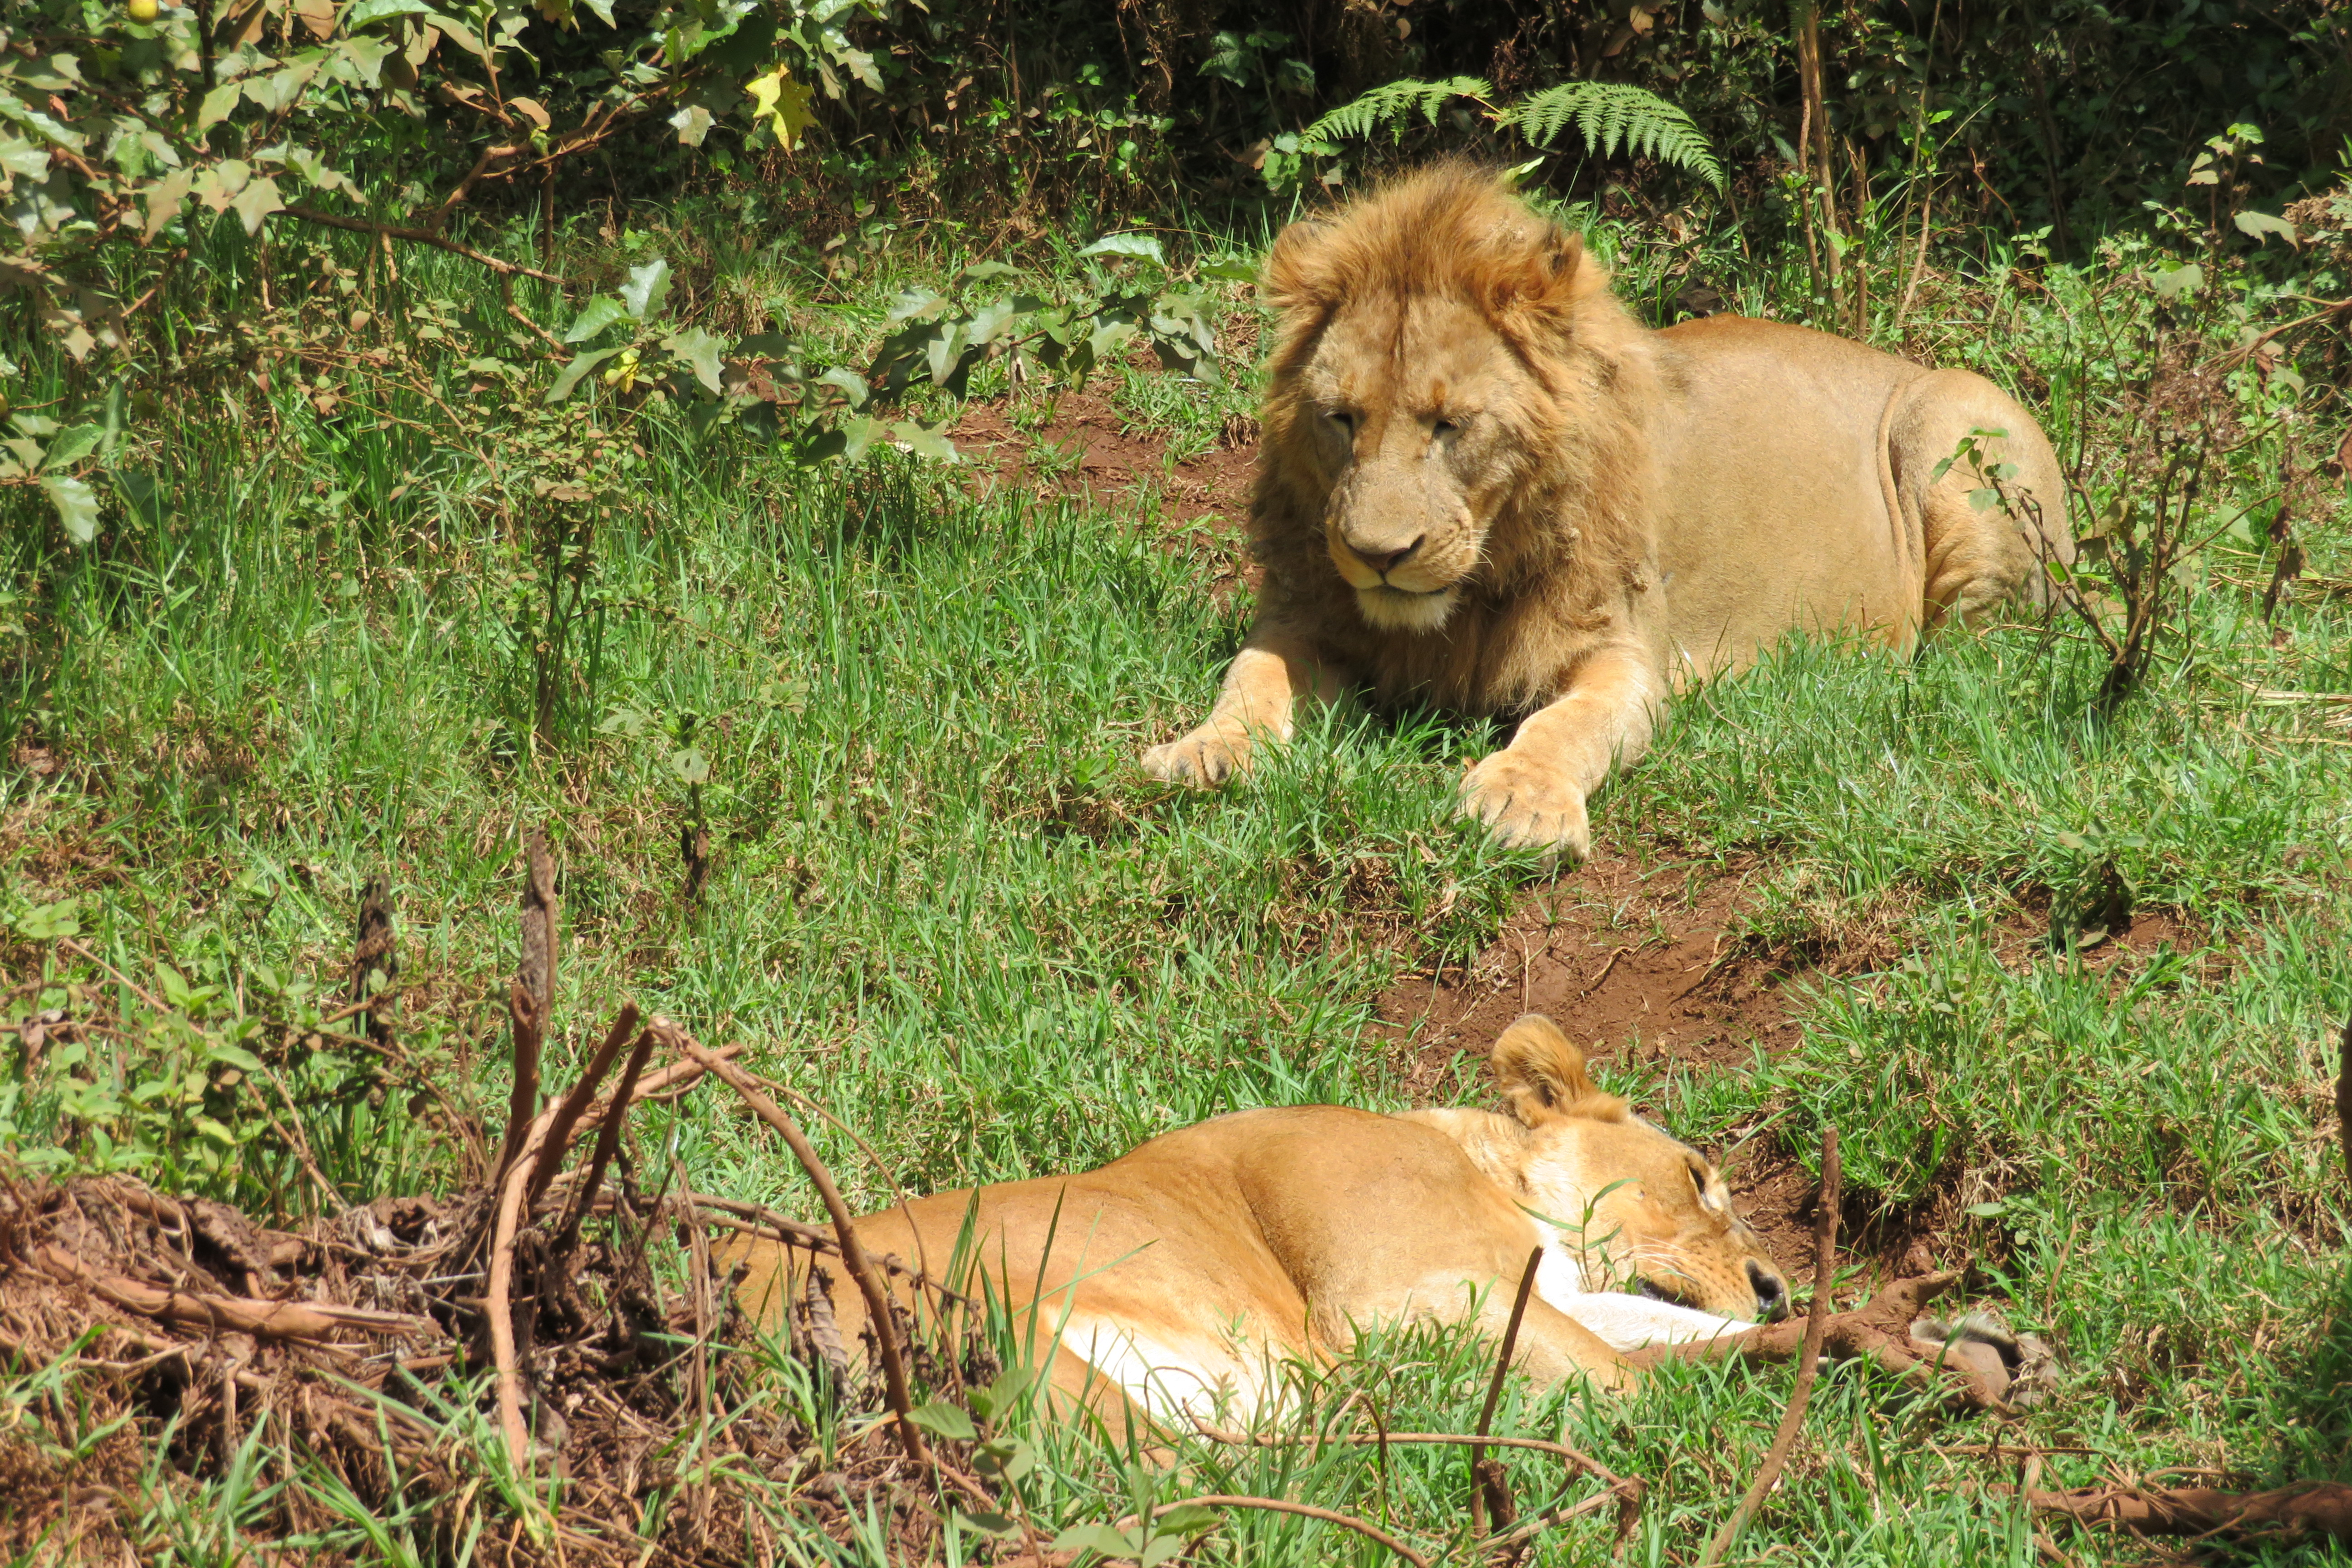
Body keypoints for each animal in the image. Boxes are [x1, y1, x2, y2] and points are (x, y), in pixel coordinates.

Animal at [720, 1020, 2023, 1439]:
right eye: (1700, 1174)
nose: (1769, 1279)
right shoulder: (1401, 1295)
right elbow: (1634, 1373)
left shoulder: (1530, 1284)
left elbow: (1664, 1334)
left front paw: (1941, 1346)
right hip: (996, 1335)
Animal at [1143, 164, 2079, 851]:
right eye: (1340, 419)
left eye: (1449, 426)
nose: (1377, 555)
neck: (1464, 600)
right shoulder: (1302, 619)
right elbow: (1249, 679)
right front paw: (1204, 752)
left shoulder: (1619, 651)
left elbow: (1566, 725)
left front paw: (1518, 803)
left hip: (1956, 420)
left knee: (1975, 659)